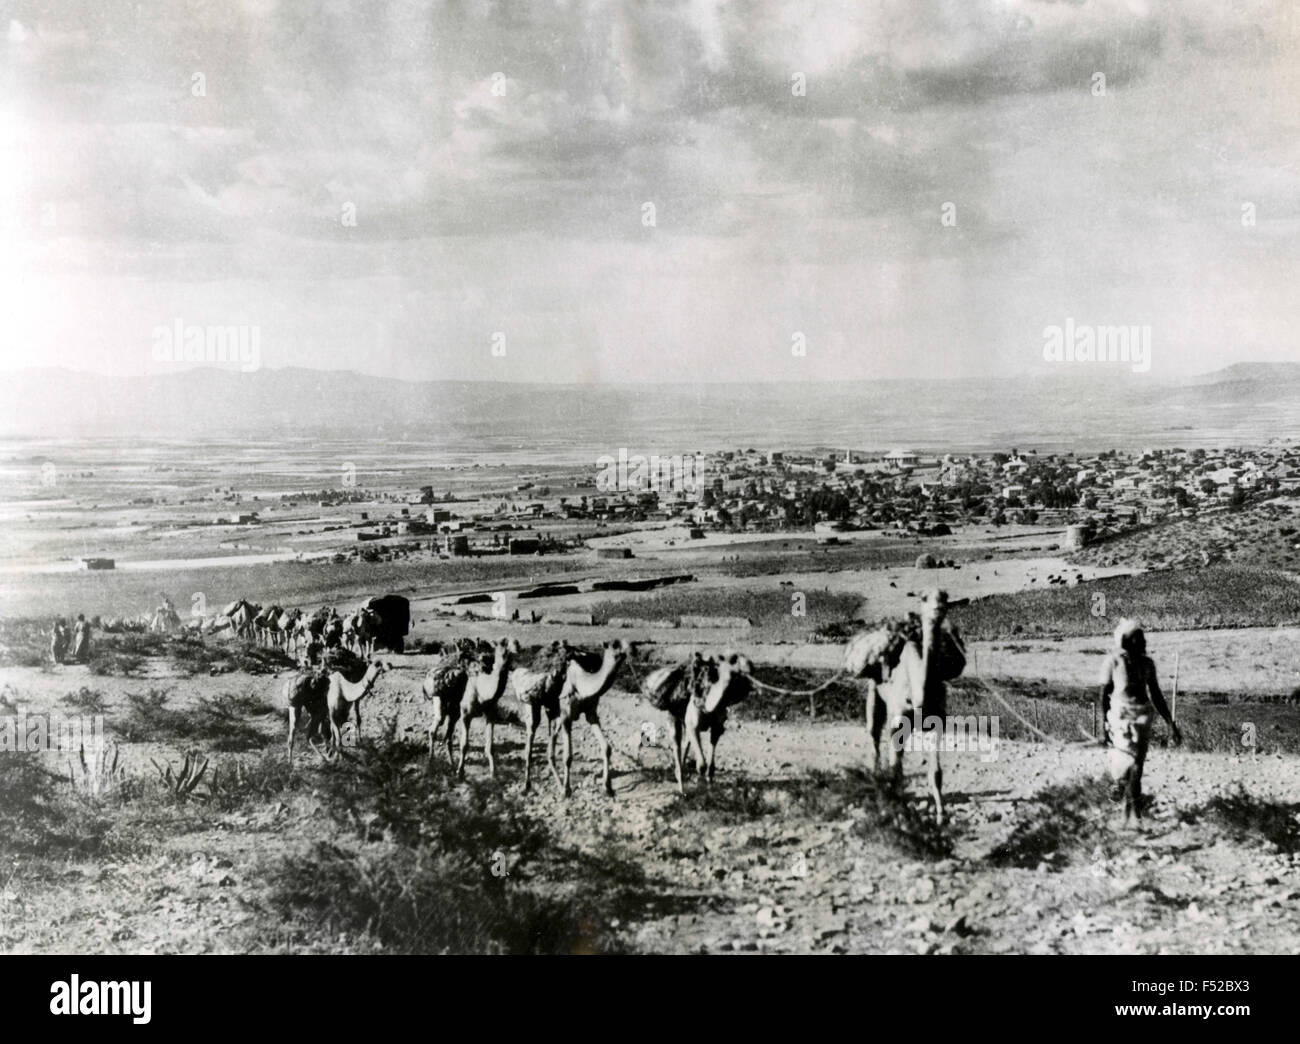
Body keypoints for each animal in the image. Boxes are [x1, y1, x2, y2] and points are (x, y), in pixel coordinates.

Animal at [418, 637, 514, 774]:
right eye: (501, 646)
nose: (509, 660)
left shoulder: (490, 714)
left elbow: (490, 746)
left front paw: (493, 773)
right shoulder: (466, 715)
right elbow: (464, 745)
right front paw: (461, 772)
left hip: (454, 712)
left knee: (448, 736)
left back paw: (451, 764)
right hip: (440, 701)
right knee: (434, 729)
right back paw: (431, 762)